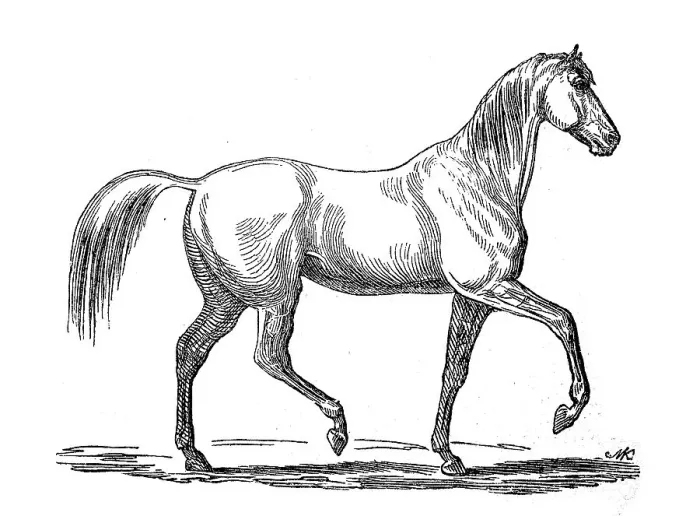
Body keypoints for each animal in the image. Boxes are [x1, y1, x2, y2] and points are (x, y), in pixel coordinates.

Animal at [68, 45, 619, 476]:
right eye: (578, 82)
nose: (611, 139)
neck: (477, 177)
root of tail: (199, 184)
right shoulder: (490, 288)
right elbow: (564, 320)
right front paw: (567, 412)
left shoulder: (473, 299)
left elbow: (454, 371)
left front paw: (448, 457)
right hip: (272, 295)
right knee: (267, 356)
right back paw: (335, 429)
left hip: (226, 298)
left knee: (190, 350)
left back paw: (195, 456)